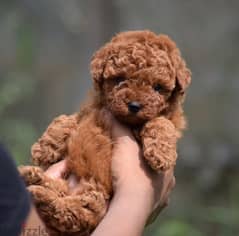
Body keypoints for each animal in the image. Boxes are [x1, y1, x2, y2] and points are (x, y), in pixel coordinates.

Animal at [19, 30, 190, 235]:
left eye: (157, 87)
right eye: (120, 79)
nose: (134, 106)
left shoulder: (165, 121)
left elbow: (161, 122)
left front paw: (161, 155)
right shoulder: (89, 111)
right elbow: (66, 119)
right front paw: (44, 147)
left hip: (97, 198)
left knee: (74, 214)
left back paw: (38, 191)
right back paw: (31, 177)